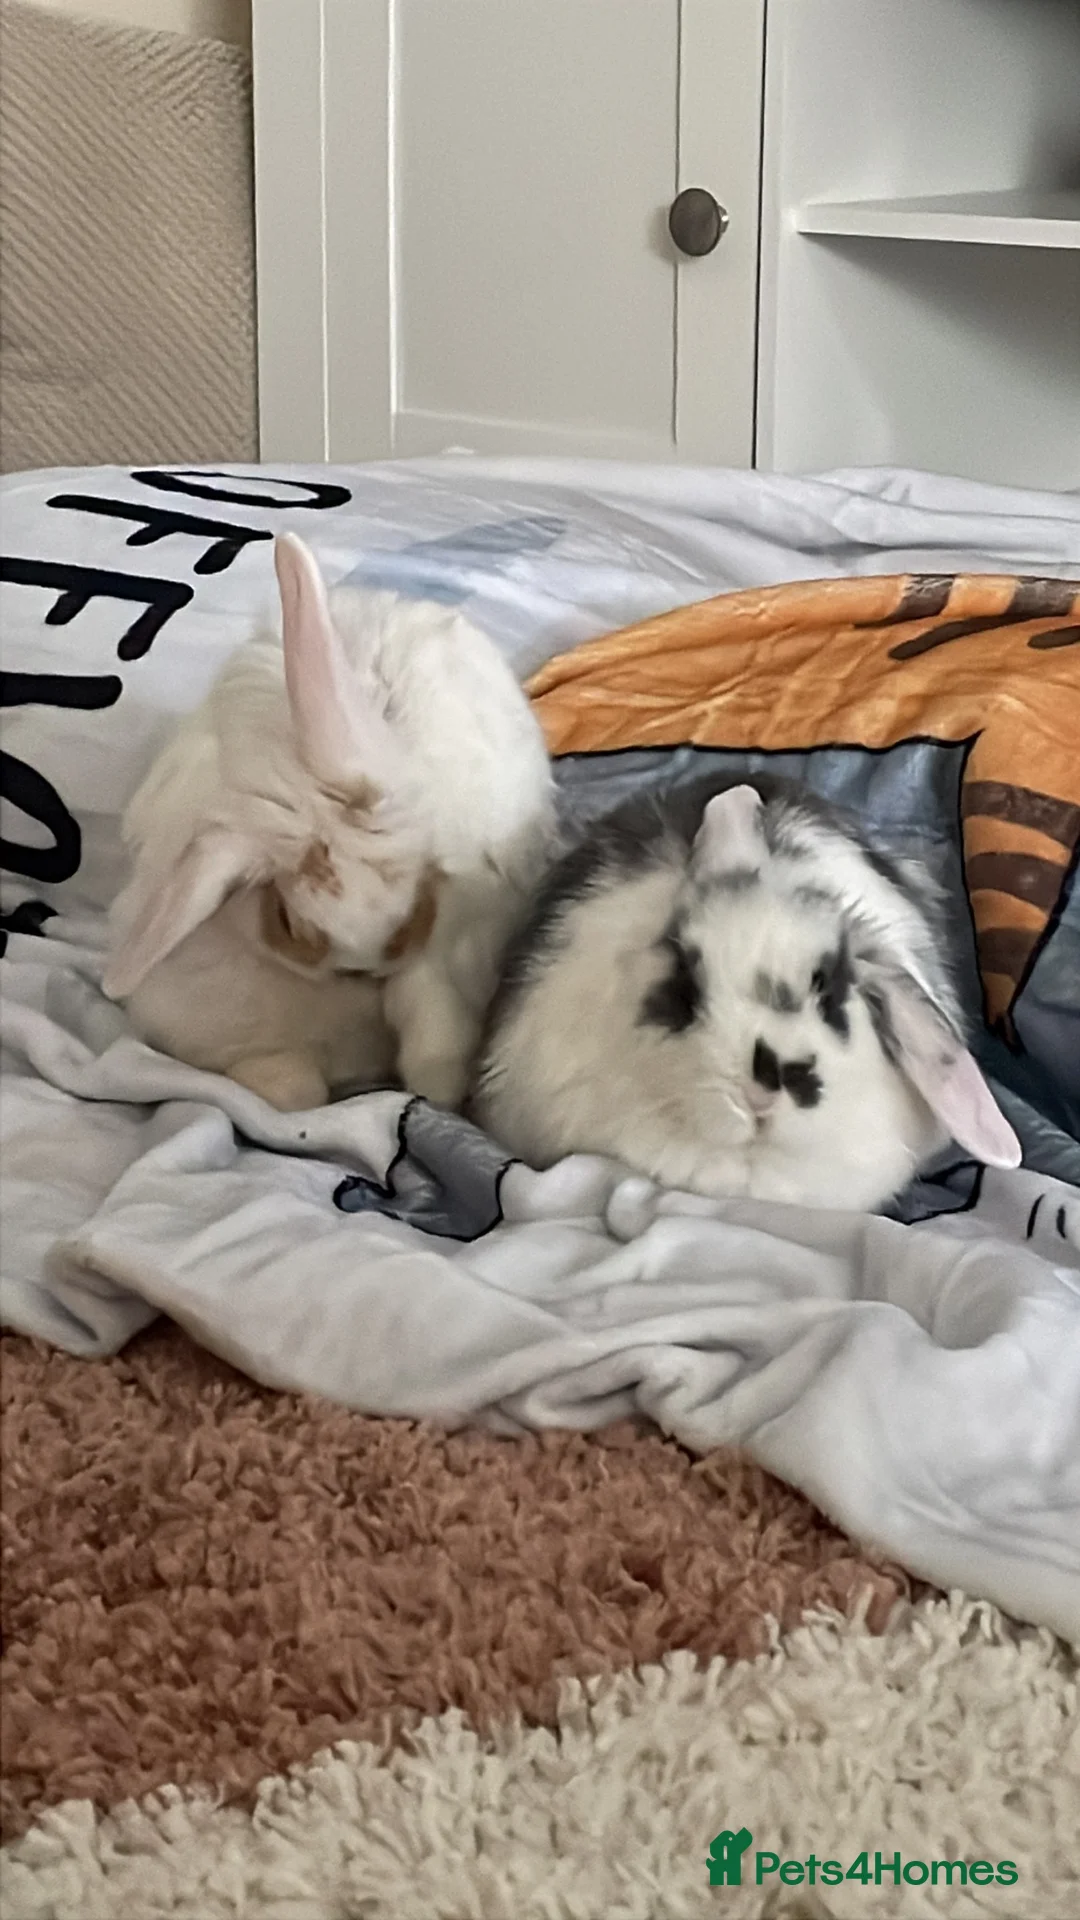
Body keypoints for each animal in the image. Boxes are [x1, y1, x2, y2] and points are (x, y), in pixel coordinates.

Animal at [103, 533, 556, 1111]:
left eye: (421, 877)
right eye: (287, 917)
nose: (370, 962)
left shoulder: (448, 951)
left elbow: (432, 1031)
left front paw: (438, 1091)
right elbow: (290, 1088)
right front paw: (298, 1090)